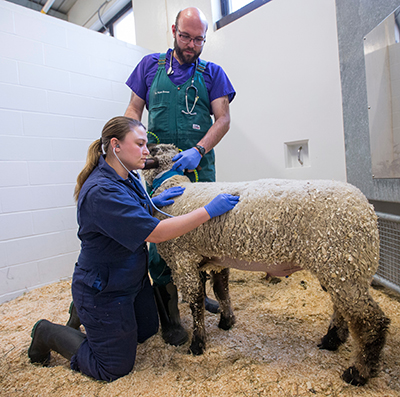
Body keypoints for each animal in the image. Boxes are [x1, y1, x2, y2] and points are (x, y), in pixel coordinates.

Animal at [143, 143, 390, 386]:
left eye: (151, 149)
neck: (174, 185)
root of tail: (367, 210)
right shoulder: (217, 258)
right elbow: (222, 290)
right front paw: (227, 321)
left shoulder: (182, 258)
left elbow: (196, 304)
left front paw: (197, 344)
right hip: (341, 268)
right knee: (343, 308)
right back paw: (331, 340)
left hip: (343, 264)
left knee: (370, 321)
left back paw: (358, 372)